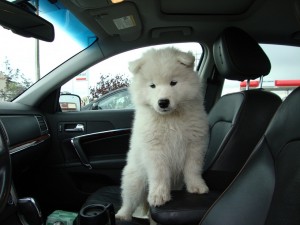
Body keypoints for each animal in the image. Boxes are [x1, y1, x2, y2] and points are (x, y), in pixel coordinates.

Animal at [116, 46, 210, 221]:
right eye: (152, 85)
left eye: (173, 83)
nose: (163, 102)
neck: (170, 118)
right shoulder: (155, 149)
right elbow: (159, 173)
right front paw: (158, 196)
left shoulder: (195, 144)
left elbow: (193, 168)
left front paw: (197, 186)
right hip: (134, 178)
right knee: (129, 199)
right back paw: (122, 215)